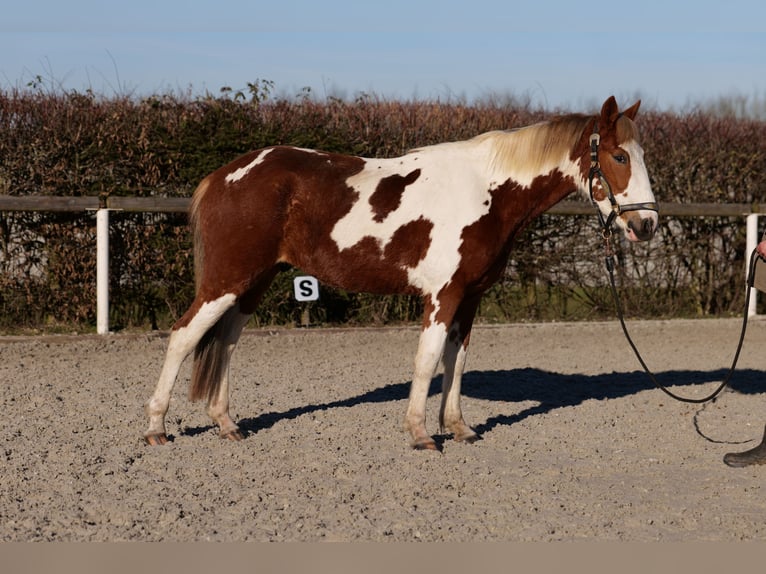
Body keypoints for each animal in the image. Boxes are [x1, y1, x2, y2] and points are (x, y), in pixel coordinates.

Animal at [144, 97, 660, 452]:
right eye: (618, 157)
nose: (646, 225)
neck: (487, 191)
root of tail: (225, 175)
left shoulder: (470, 299)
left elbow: (456, 363)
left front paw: (459, 428)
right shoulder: (442, 296)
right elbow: (427, 361)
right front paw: (420, 433)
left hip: (253, 283)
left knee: (226, 342)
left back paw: (227, 424)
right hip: (226, 281)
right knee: (183, 336)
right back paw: (156, 428)